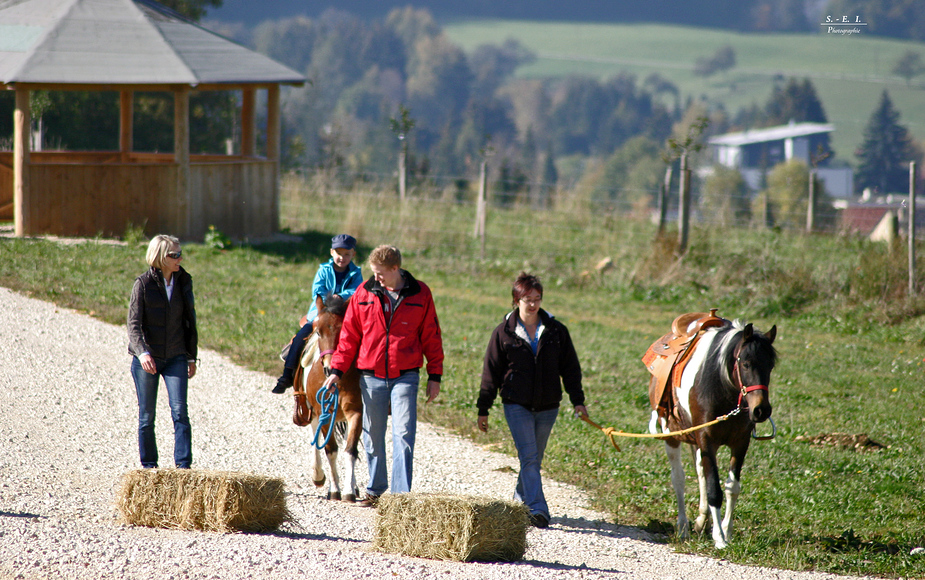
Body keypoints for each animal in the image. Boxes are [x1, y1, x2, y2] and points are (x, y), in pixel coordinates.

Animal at [290, 296, 362, 500]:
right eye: (318, 331)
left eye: (343, 331)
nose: (330, 367)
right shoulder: (323, 412)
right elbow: (331, 450)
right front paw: (334, 489)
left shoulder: (356, 412)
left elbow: (350, 450)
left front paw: (349, 490)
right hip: (311, 409)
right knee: (314, 433)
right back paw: (318, 475)